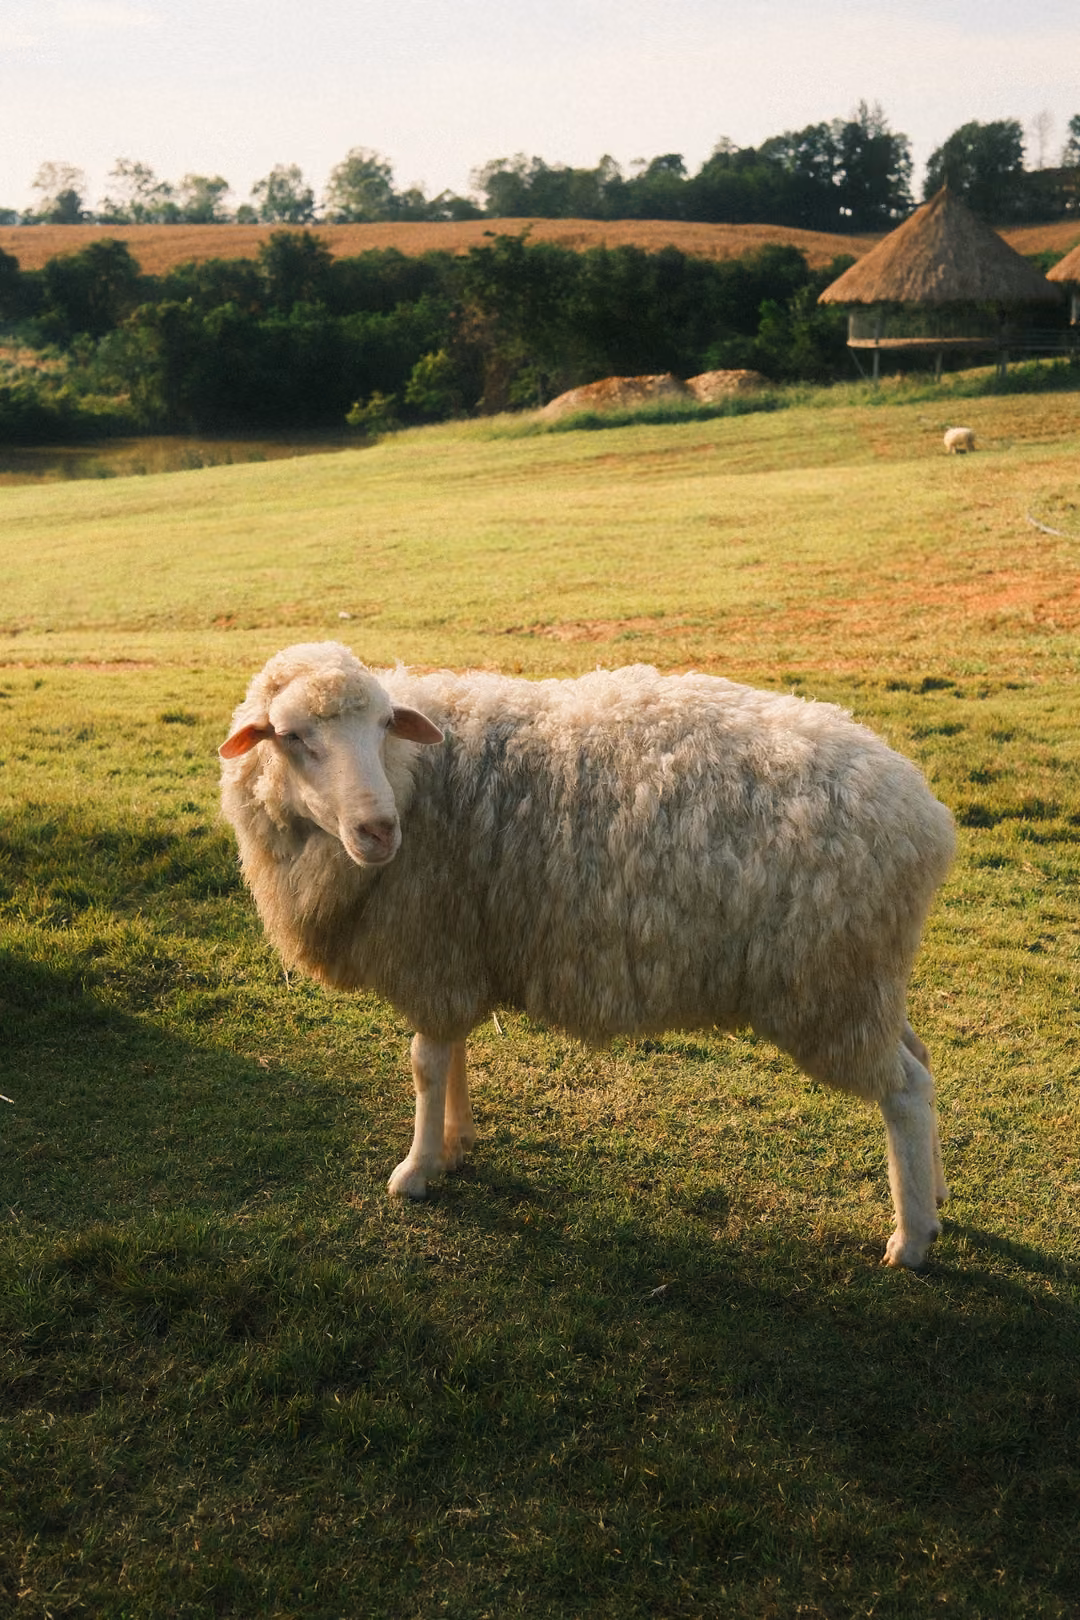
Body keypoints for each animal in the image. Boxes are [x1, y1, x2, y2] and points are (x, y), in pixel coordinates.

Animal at [219, 642, 956, 1269]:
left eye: (382, 726)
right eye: (292, 737)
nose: (378, 831)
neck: (420, 779)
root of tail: (926, 813)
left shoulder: (431, 952)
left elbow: (426, 1064)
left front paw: (416, 1171)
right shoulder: (457, 952)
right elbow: (453, 1054)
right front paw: (456, 1144)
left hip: (829, 987)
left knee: (904, 1091)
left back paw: (911, 1239)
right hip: (868, 977)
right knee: (920, 1060)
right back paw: (937, 1195)